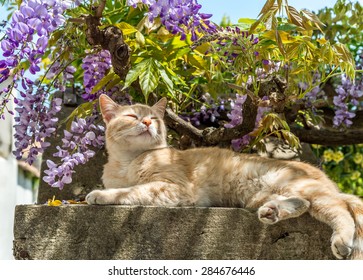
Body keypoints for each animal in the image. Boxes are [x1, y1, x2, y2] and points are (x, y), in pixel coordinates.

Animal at [86, 94, 363, 260]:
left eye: (153, 118)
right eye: (132, 116)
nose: (146, 122)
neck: (128, 162)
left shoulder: (173, 188)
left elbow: (131, 191)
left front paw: (100, 195)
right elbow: (128, 188)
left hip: (301, 187)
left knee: (340, 209)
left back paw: (341, 240)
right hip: (268, 195)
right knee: (304, 204)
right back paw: (272, 212)